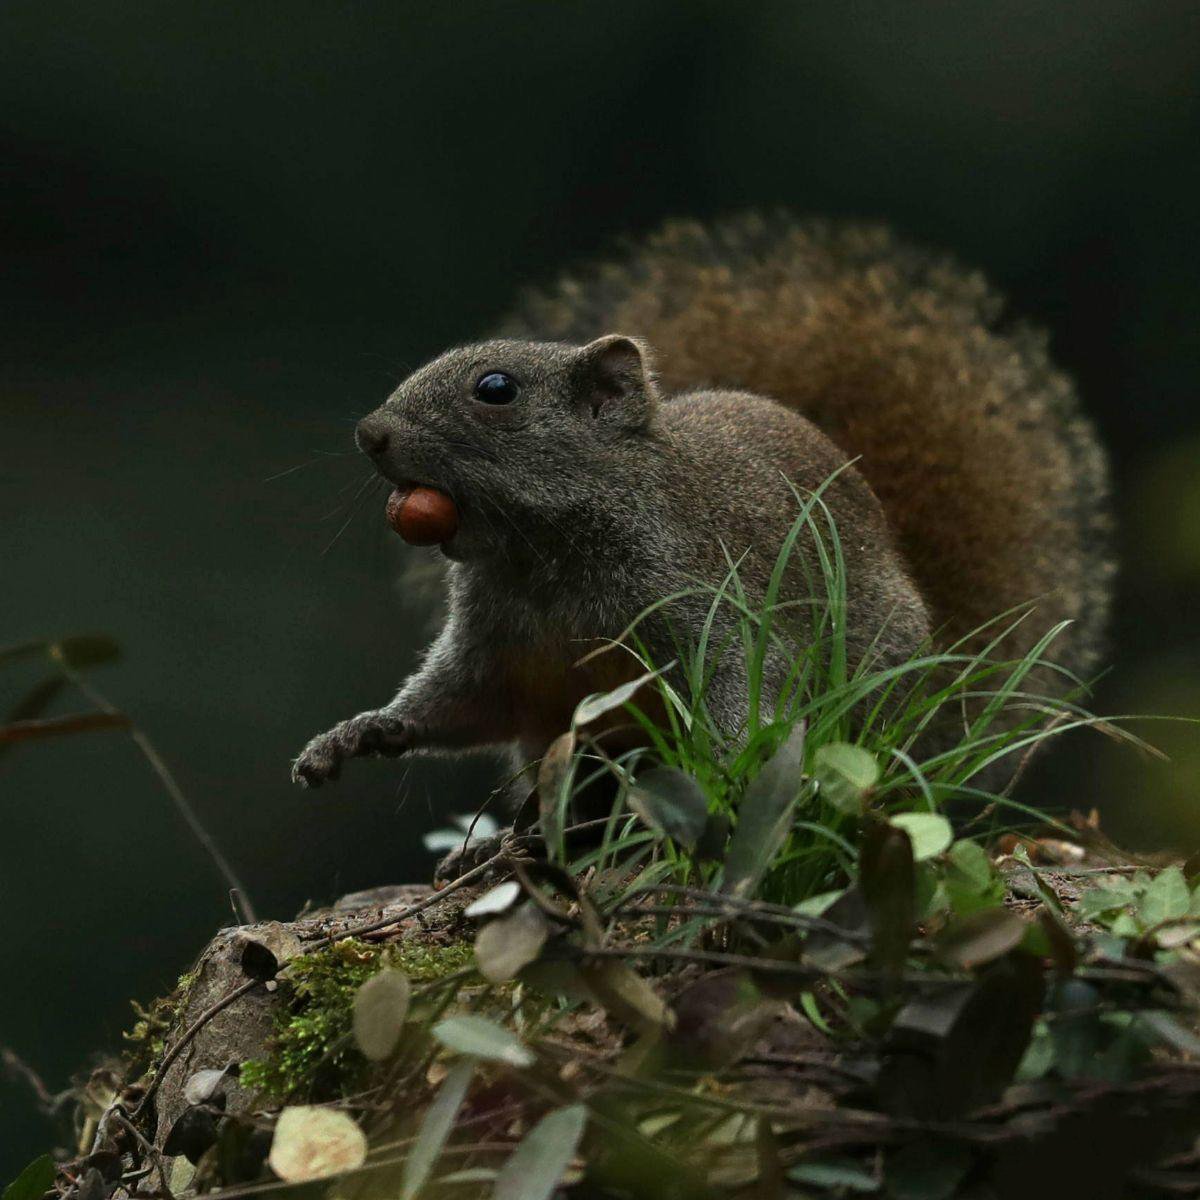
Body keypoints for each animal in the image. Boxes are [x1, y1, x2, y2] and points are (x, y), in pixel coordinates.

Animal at [292, 216, 1113, 792]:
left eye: (496, 389)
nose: (371, 434)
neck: (541, 558)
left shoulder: (705, 598)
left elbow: (742, 680)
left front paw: (727, 765)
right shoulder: (499, 656)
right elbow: (456, 704)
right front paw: (356, 734)